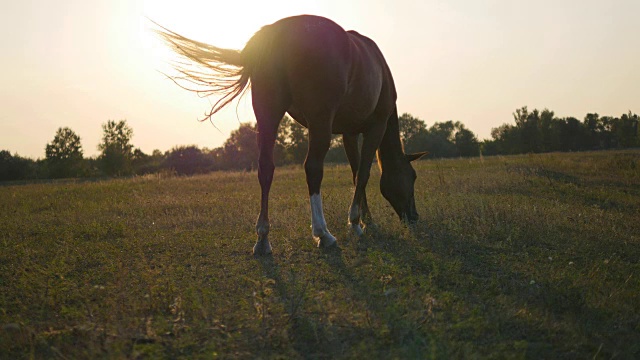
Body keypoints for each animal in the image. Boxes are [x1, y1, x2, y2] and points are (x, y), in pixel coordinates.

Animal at [154, 15, 424, 255]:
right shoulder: (375, 127)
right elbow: (364, 173)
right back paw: (323, 234)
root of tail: (279, 33)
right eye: (412, 176)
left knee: (265, 168)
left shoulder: (349, 132)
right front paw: (357, 223)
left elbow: (356, 172)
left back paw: (263, 239)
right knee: (312, 168)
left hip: (268, 116)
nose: (414, 217)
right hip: (319, 123)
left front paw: (365, 220)